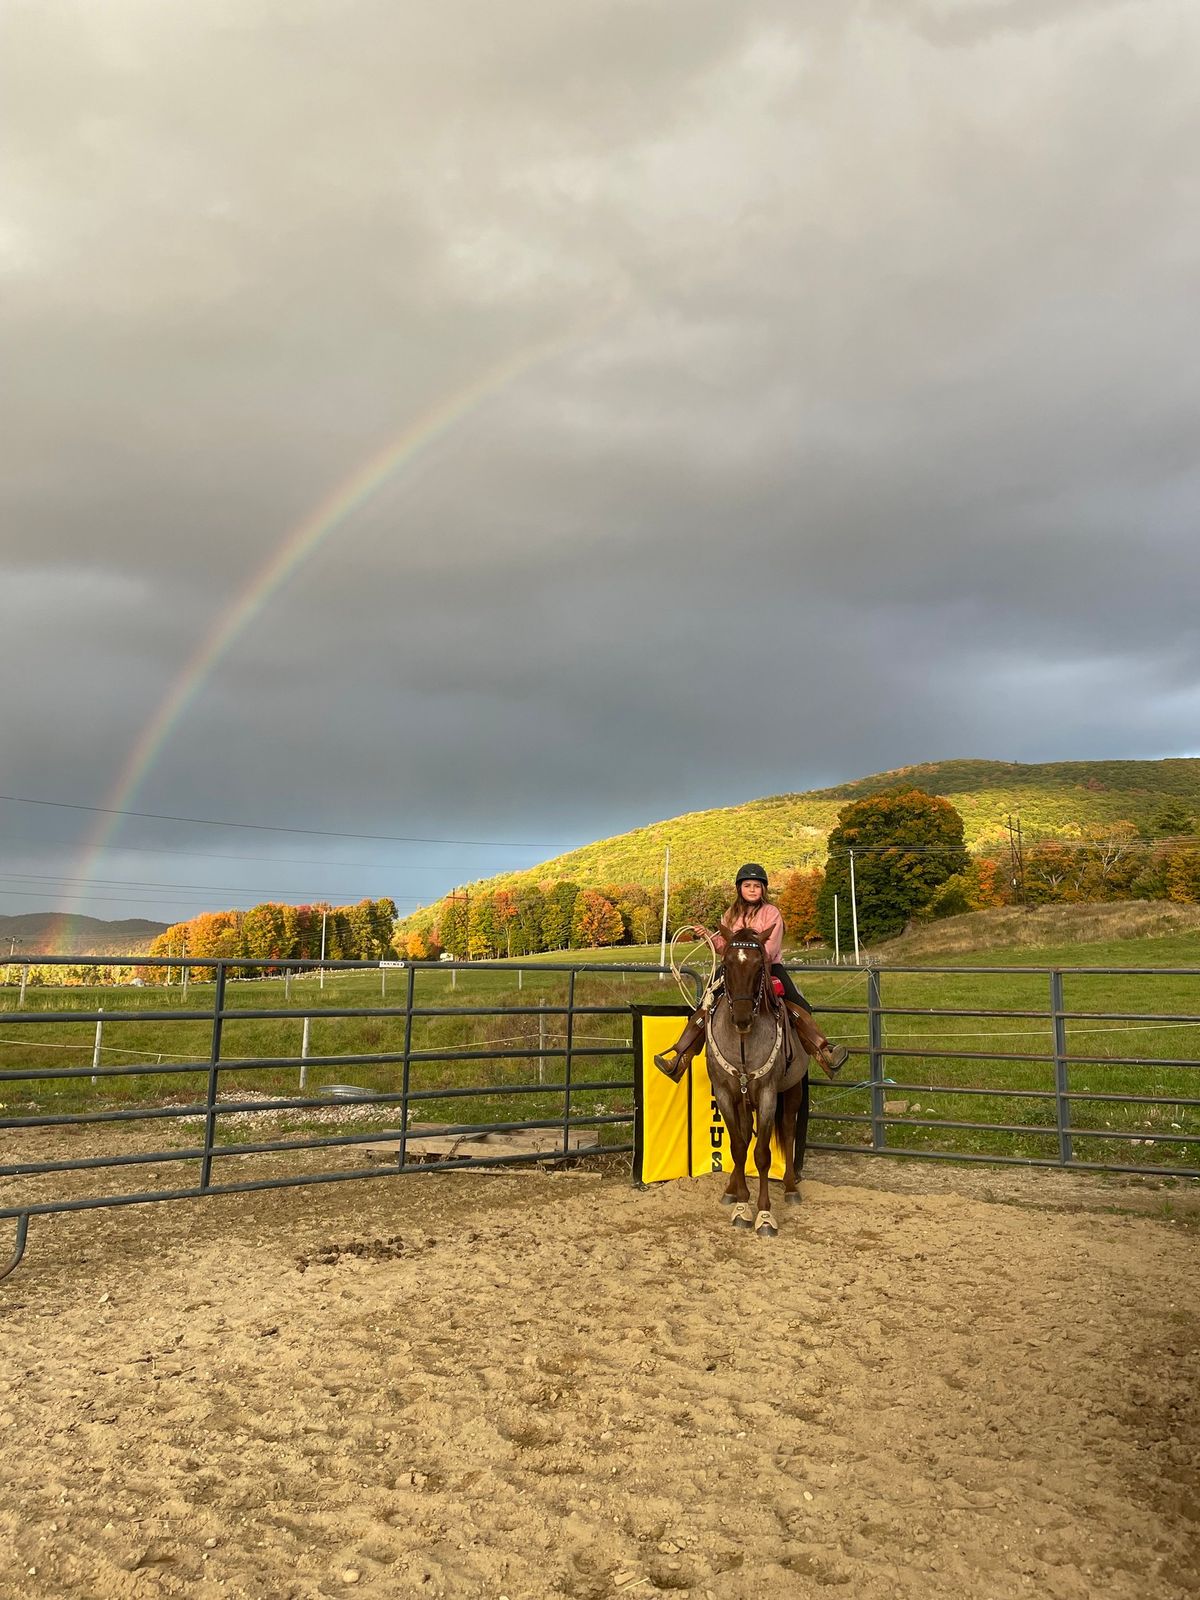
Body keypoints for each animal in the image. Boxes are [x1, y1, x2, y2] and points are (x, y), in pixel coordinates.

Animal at [710, 921, 812, 1241]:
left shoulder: (768, 1094)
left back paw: (790, 1188)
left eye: (759, 967)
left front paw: (765, 1215)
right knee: (744, 1136)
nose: (742, 1019)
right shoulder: (725, 1094)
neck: (743, 1042)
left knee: (789, 1132)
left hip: (791, 1091)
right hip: (745, 1100)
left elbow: (763, 1154)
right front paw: (741, 1205)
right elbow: (738, 1148)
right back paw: (731, 1189)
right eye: (727, 965)